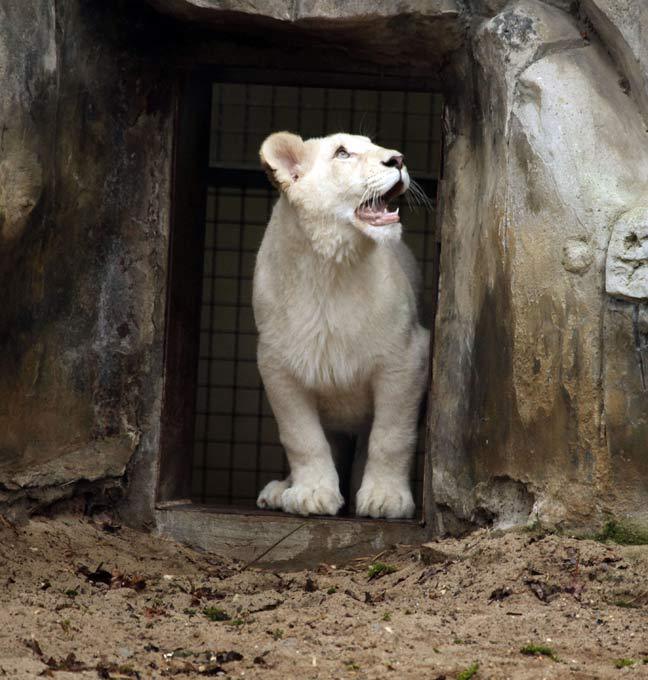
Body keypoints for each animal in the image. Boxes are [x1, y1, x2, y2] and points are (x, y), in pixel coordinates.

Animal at [252, 131, 429, 518]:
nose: (398, 159)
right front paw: (312, 494)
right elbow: (302, 437)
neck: (330, 269)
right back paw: (279, 490)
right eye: (343, 153)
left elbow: (391, 436)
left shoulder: (406, 359)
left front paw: (386, 498)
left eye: (374, 145)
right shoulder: (277, 367)